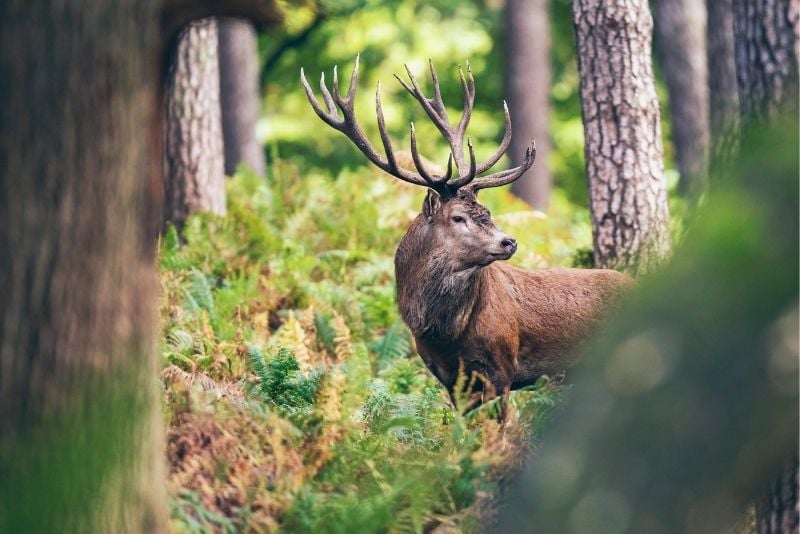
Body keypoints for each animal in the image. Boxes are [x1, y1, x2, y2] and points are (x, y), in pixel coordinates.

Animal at [300, 55, 632, 414]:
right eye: (458, 217)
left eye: (487, 212)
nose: (509, 241)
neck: (446, 335)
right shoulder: (448, 378)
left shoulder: (502, 368)